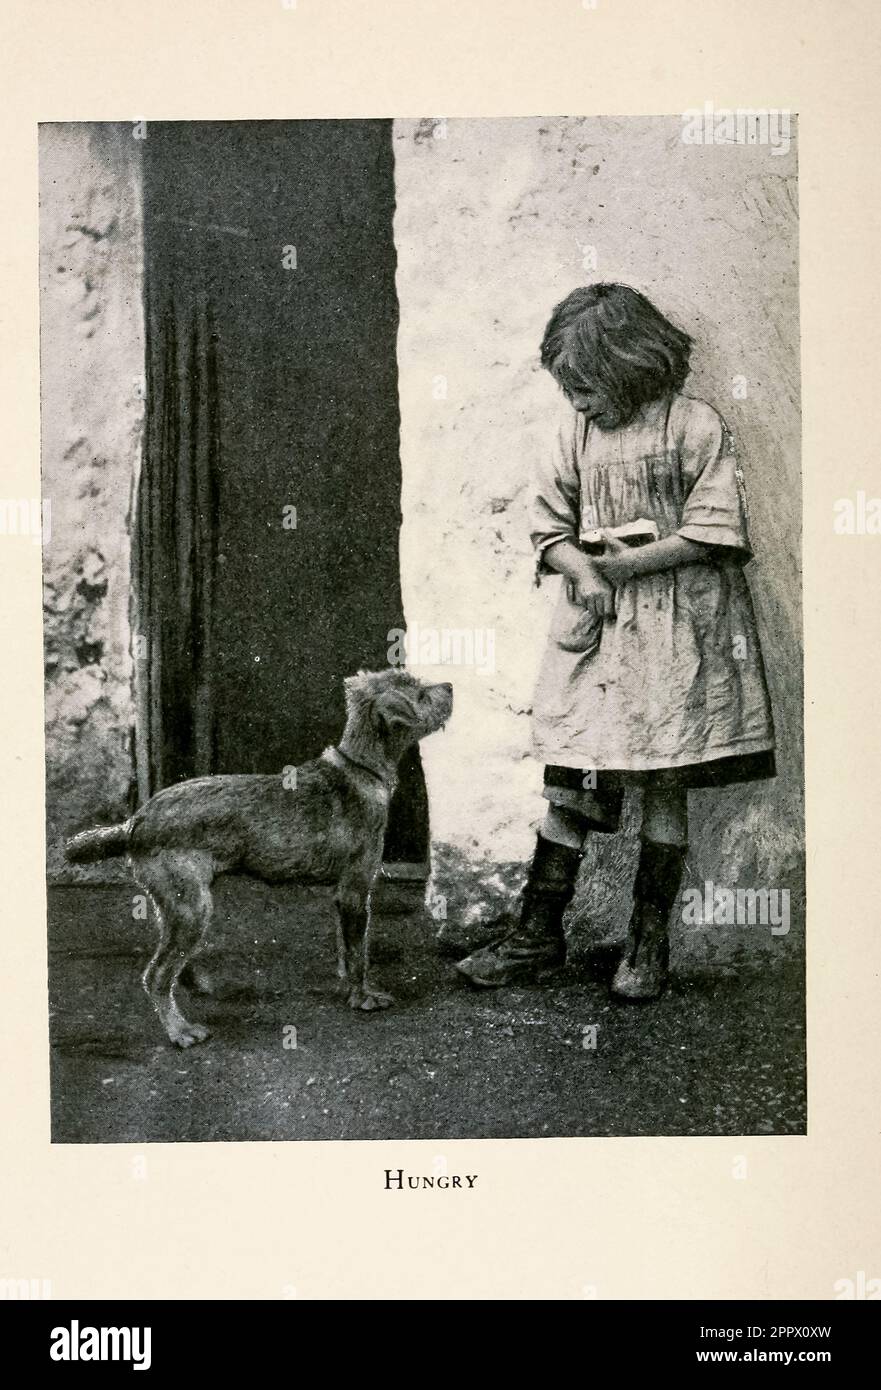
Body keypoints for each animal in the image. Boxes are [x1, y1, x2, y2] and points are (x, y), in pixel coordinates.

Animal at [66, 667, 453, 1045]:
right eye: (420, 693)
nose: (449, 685)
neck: (360, 767)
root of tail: (135, 823)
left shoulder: (342, 896)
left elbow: (346, 948)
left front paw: (346, 983)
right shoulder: (356, 889)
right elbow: (359, 953)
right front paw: (363, 997)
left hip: (181, 906)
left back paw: (195, 984)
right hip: (191, 905)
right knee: (157, 974)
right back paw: (181, 1031)